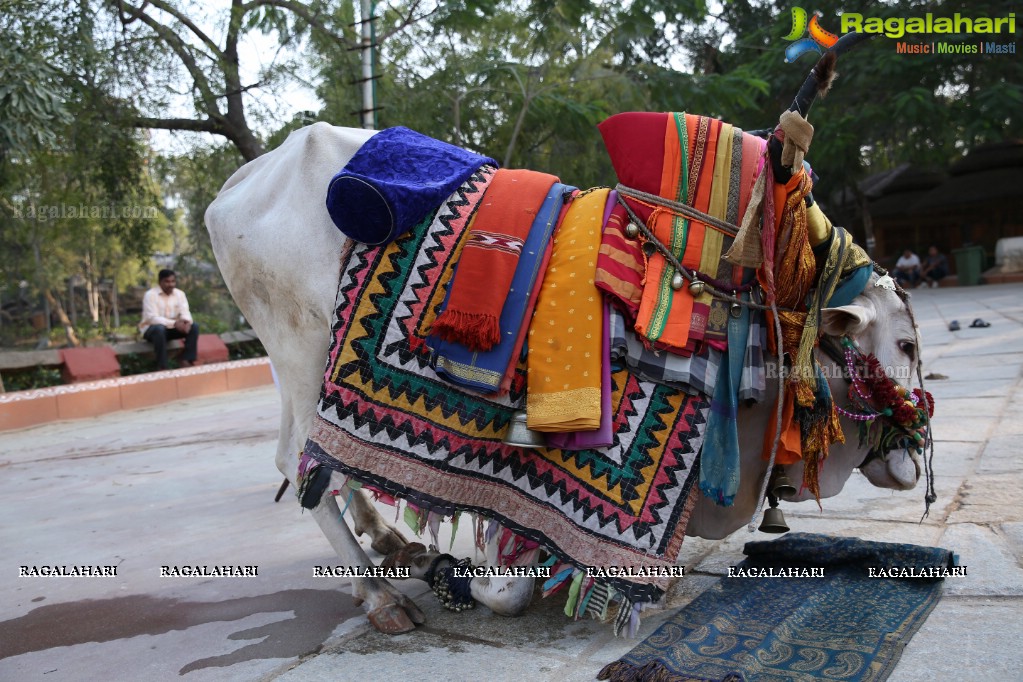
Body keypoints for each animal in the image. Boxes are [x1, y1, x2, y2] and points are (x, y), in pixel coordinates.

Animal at [201, 36, 937, 633]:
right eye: (903, 344)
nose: (912, 462)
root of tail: (245, 177)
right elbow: (508, 579)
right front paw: (456, 574)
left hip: (301, 368)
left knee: (317, 461)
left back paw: (389, 544)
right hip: (299, 351)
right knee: (297, 458)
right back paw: (378, 592)